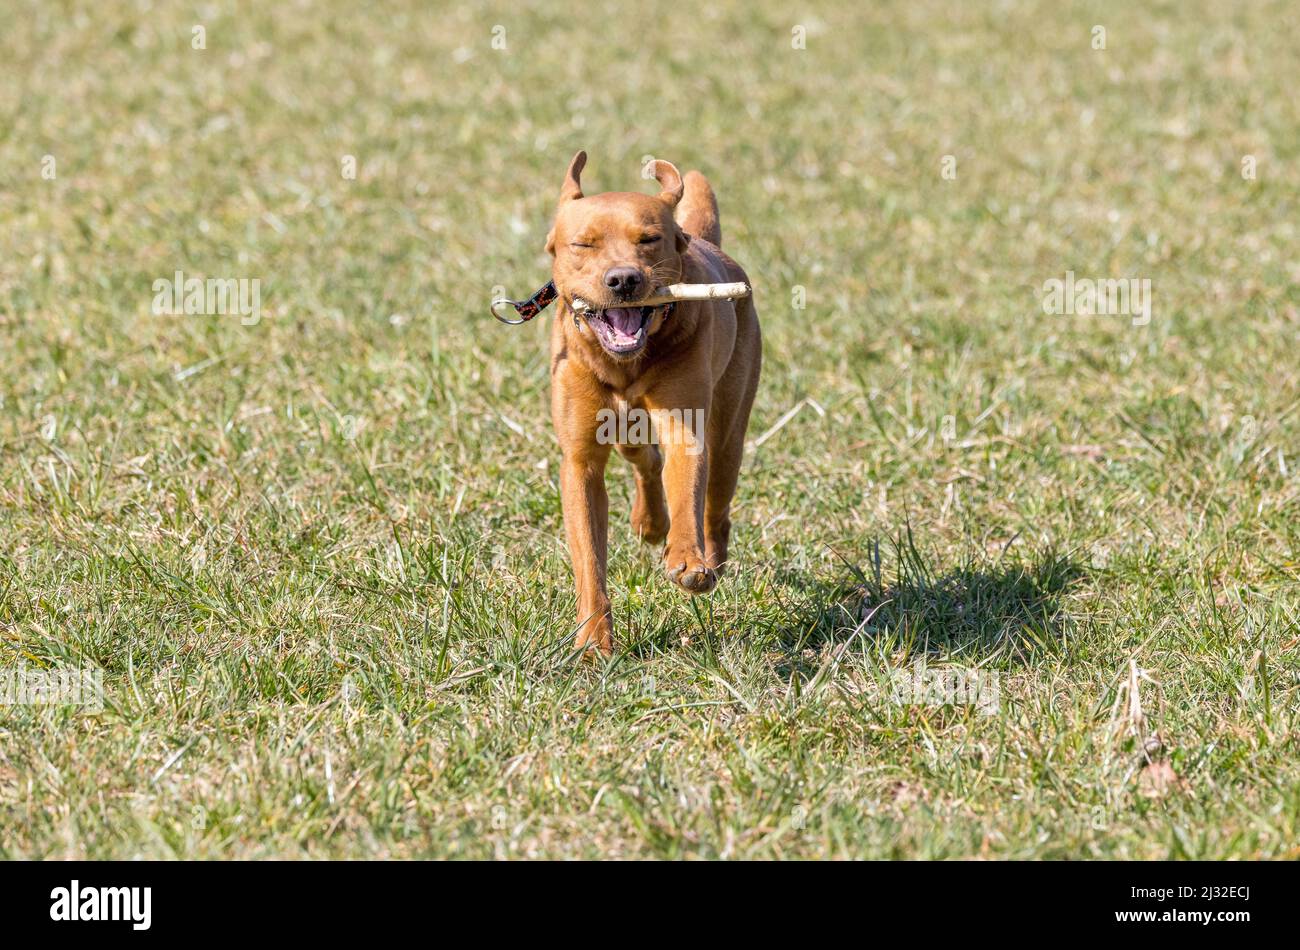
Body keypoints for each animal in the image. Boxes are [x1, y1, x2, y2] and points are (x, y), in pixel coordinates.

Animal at [546, 152, 759, 654]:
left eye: (648, 239)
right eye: (583, 244)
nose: (623, 279)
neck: (624, 366)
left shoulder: (685, 425)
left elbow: (685, 489)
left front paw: (687, 560)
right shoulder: (580, 460)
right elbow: (589, 559)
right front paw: (594, 642)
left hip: (730, 428)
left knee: (715, 506)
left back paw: (711, 559)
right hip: (623, 428)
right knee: (643, 456)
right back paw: (649, 521)